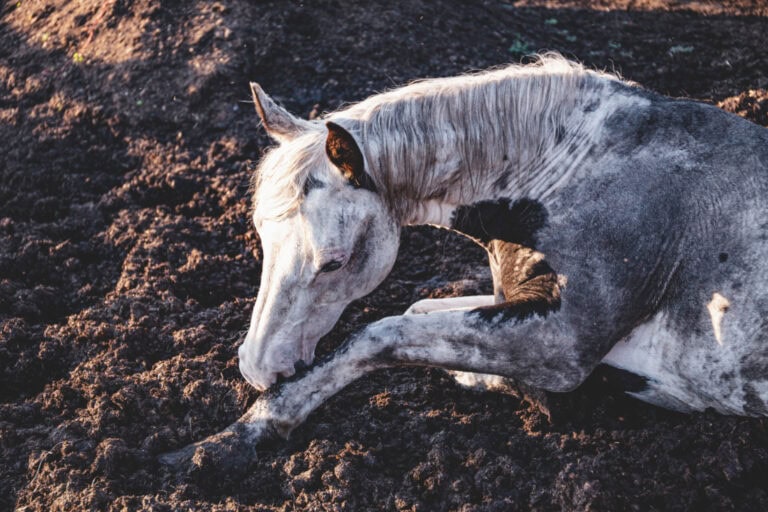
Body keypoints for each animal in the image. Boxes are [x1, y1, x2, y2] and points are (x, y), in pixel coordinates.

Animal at [160, 55, 768, 469]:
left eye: (333, 263)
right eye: (262, 238)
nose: (259, 367)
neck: (581, 173)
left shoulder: (563, 346)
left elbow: (380, 335)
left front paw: (229, 441)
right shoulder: (508, 305)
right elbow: (418, 311)